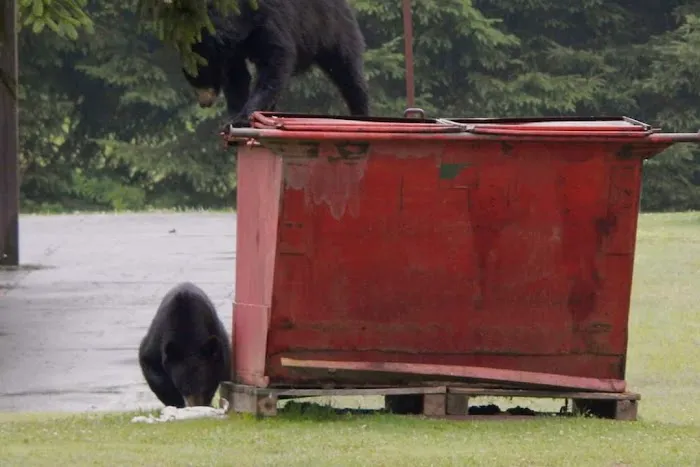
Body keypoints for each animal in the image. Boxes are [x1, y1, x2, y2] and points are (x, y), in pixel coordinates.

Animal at [182, 0, 370, 127]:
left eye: (198, 77)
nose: (204, 103)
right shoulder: (235, 48)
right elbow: (237, 76)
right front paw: (233, 116)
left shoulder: (270, 19)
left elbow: (276, 62)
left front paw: (243, 116)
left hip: (332, 28)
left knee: (347, 72)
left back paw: (361, 112)